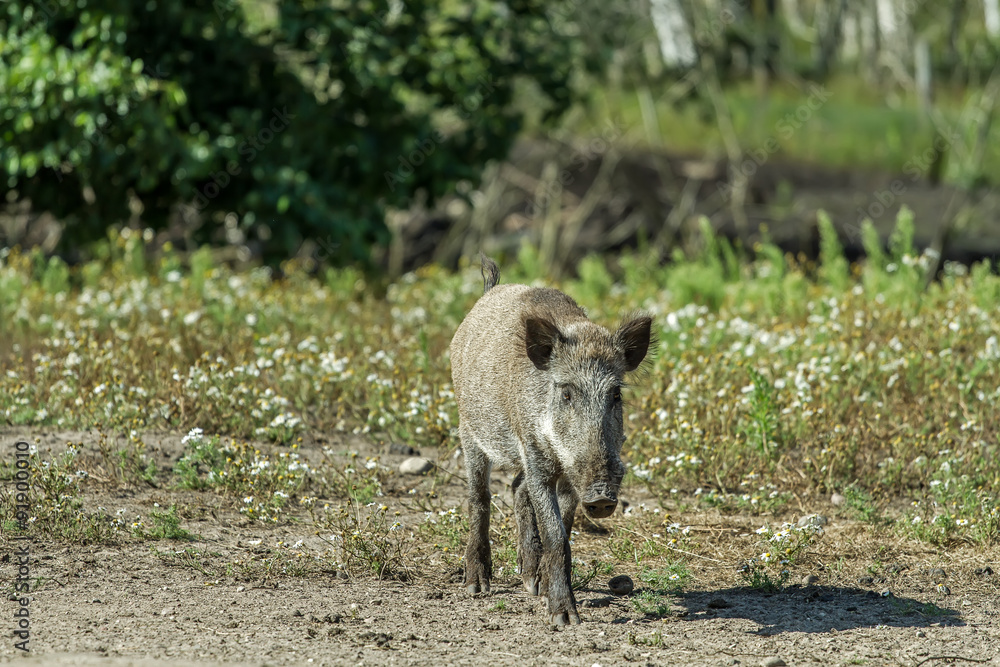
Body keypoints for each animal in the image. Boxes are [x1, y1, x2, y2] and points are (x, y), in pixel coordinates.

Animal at [450, 255, 652, 625]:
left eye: (615, 394)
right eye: (567, 393)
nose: (602, 497)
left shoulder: (570, 475)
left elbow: (566, 530)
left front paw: (545, 594)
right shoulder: (536, 457)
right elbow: (555, 533)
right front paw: (564, 618)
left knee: (516, 488)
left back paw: (531, 582)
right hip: (468, 429)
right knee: (479, 497)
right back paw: (477, 586)